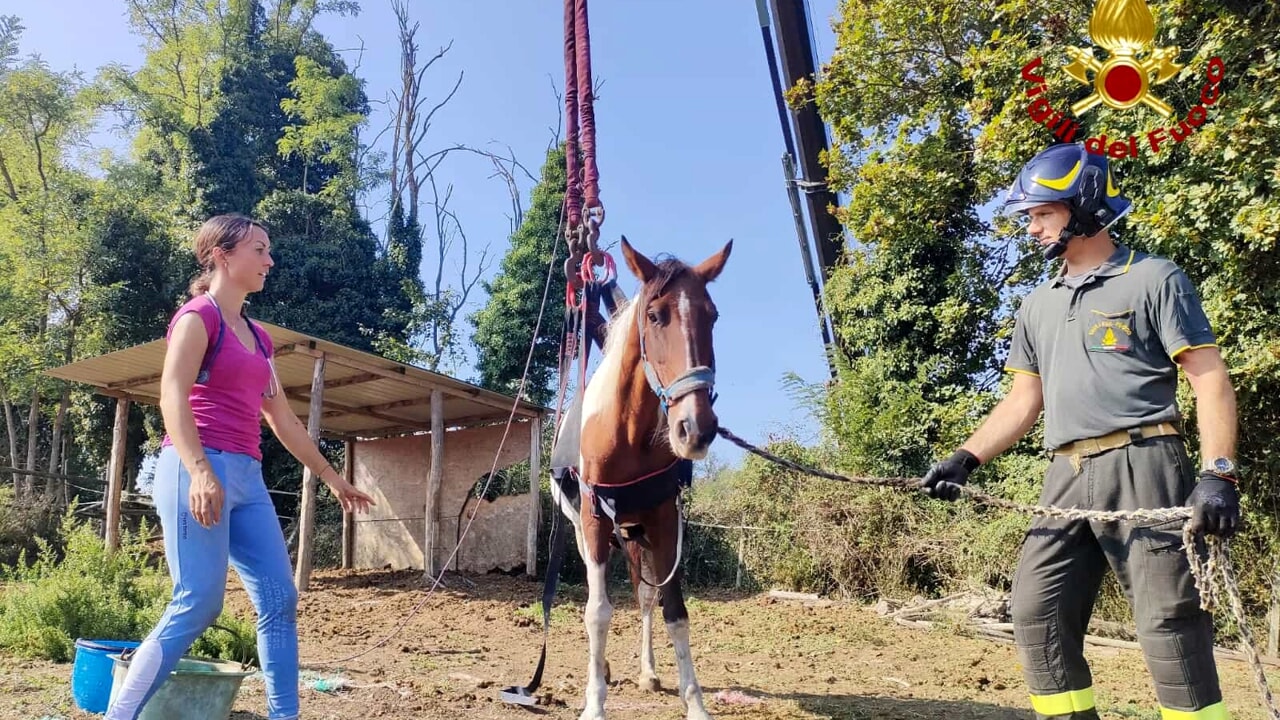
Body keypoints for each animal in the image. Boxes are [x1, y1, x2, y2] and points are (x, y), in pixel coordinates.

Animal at [547, 235, 732, 717]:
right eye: (654, 316)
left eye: (712, 315)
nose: (696, 428)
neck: (627, 432)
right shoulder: (595, 522)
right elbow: (597, 611)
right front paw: (594, 703)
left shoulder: (664, 521)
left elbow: (674, 612)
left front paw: (695, 703)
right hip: (592, 531)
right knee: (602, 596)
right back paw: (604, 669)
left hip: (636, 534)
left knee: (644, 597)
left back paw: (648, 671)